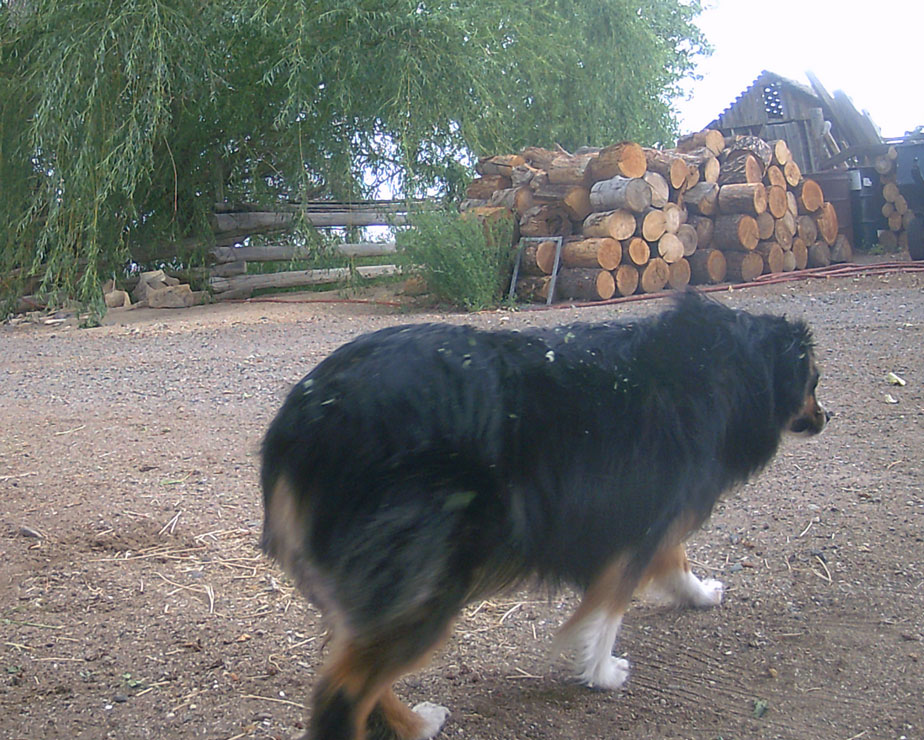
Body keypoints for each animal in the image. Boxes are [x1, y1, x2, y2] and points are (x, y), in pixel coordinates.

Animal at [260, 290, 827, 740]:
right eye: (815, 381)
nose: (830, 415)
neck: (724, 361)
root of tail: (301, 420)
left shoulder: (651, 514)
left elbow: (672, 561)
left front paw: (700, 595)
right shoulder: (641, 518)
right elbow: (610, 606)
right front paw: (602, 672)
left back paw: (416, 724)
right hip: (430, 578)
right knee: (342, 693)